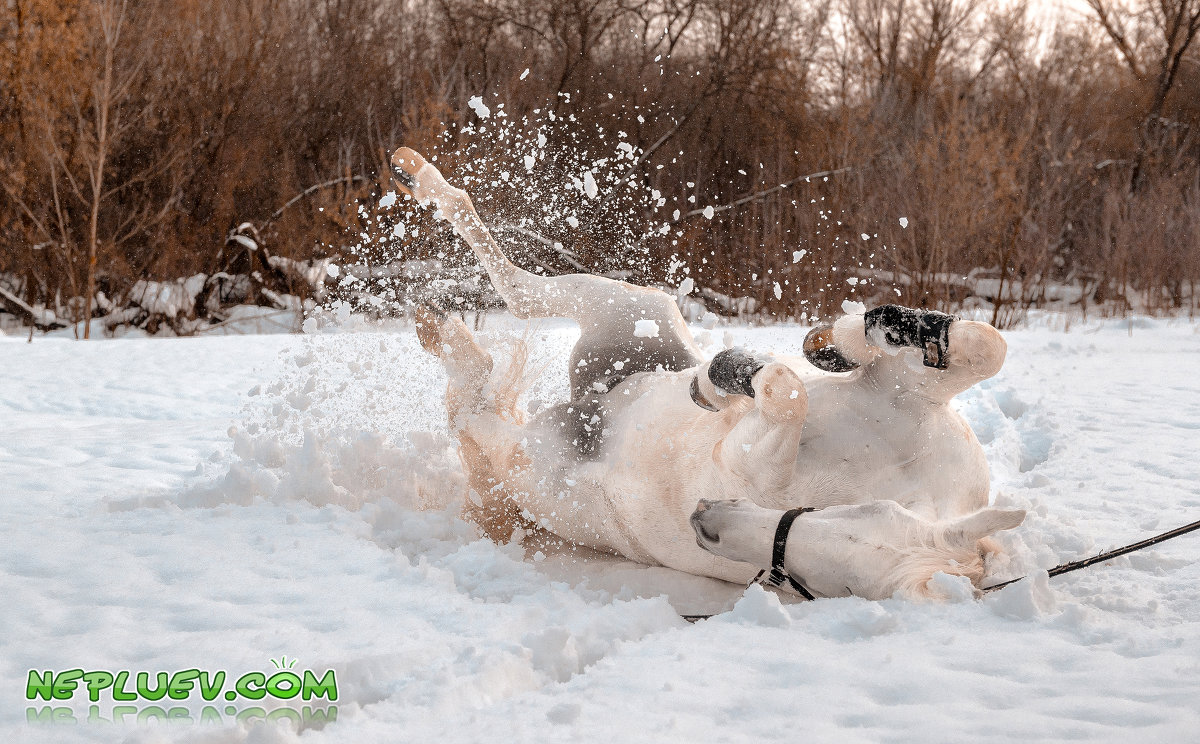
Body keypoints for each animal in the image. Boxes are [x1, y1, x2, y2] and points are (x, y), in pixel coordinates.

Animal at [391, 148, 1022, 602]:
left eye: (828, 583)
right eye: (863, 512)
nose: (708, 518)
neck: (899, 474)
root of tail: (582, 408)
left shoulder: (746, 463)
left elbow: (785, 394)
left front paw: (733, 376)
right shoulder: (907, 400)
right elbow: (985, 346)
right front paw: (834, 342)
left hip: (523, 465)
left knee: (475, 395)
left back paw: (441, 326)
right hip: (629, 304)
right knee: (511, 281)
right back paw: (414, 176)